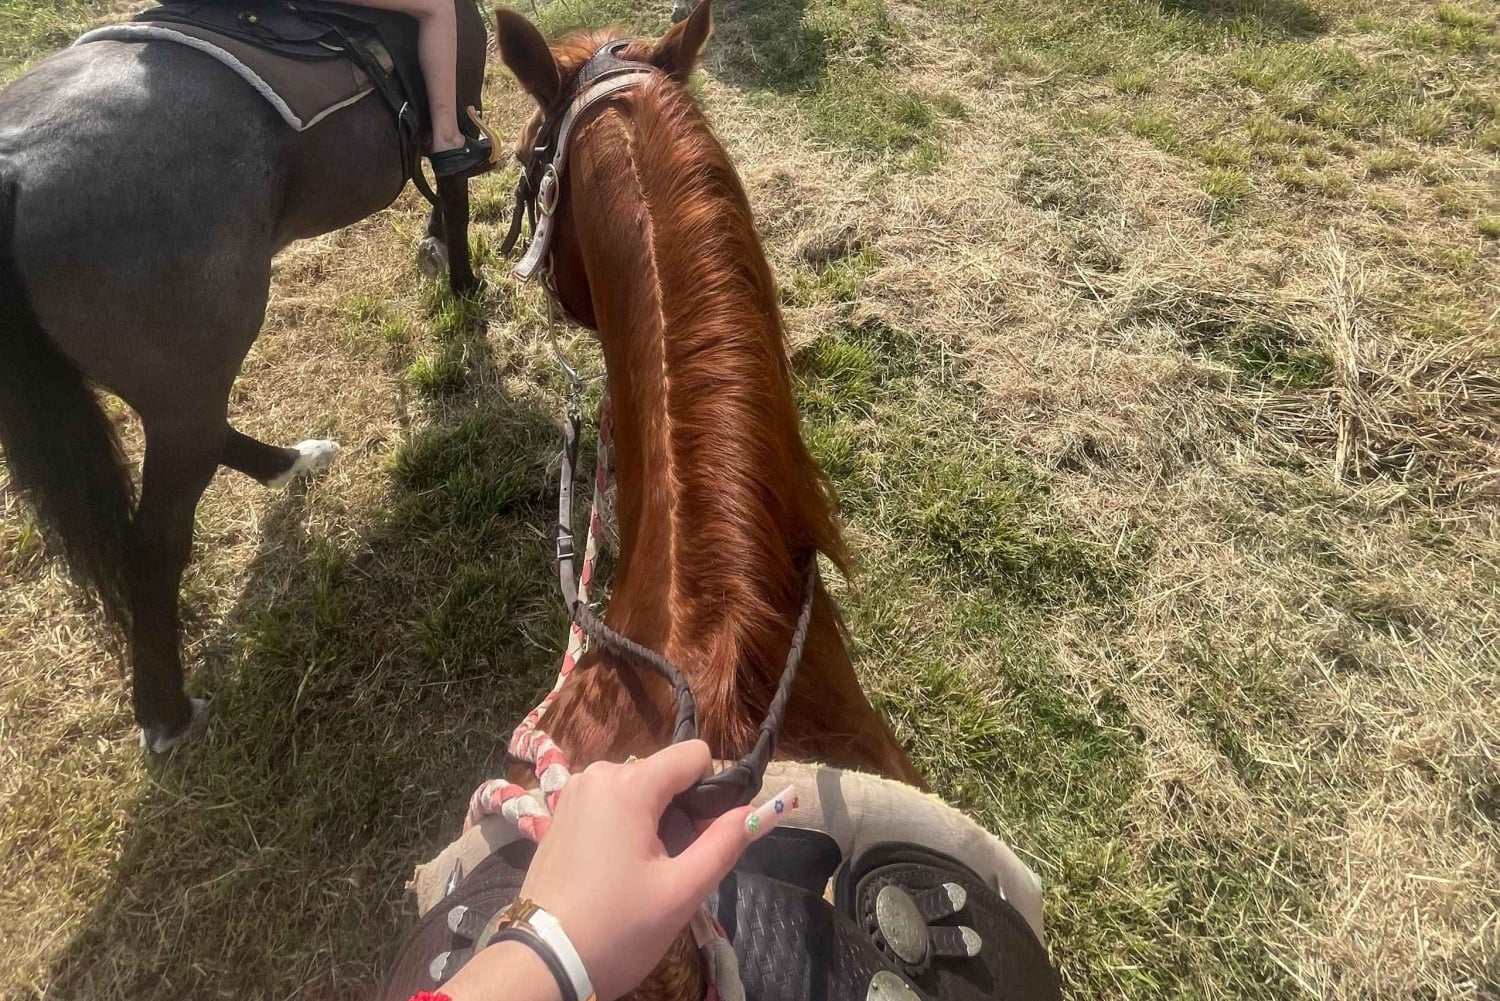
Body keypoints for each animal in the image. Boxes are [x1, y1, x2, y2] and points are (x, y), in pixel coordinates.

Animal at [0, 0, 488, 752]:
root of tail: (13, 171)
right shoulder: (457, 106)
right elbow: (457, 196)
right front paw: (464, 288)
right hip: (189, 376)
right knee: (154, 542)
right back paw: (167, 714)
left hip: (170, 388)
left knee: (209, 440)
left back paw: (292, 462)